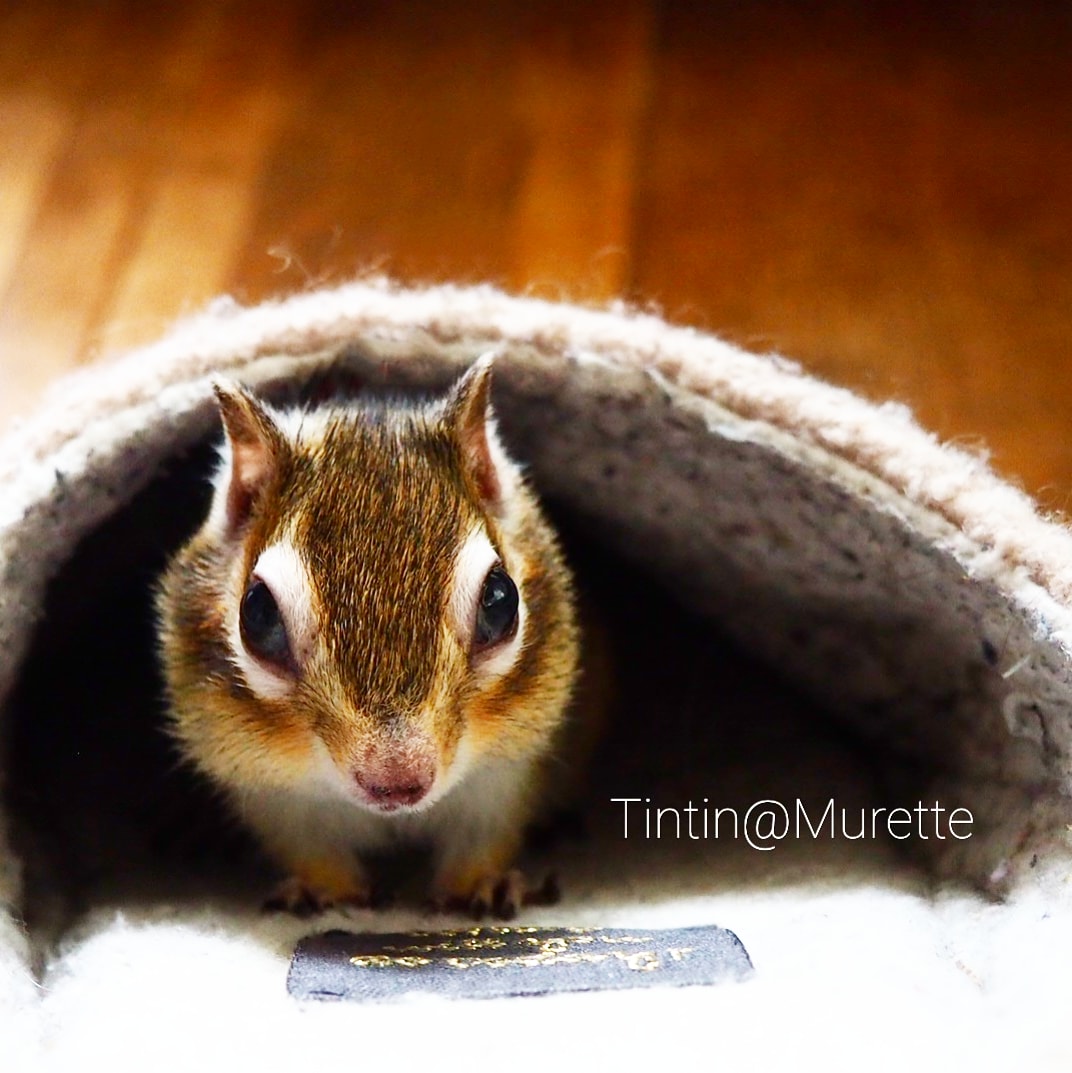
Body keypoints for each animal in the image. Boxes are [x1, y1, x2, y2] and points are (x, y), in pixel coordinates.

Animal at [155, 357, 590, 919]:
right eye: (259, 615)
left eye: (500, 601)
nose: (397, 781)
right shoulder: (272, 795)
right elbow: (312, 849)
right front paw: (328, 892)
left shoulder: (503, 778)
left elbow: (483, 838)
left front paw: (479, 886)